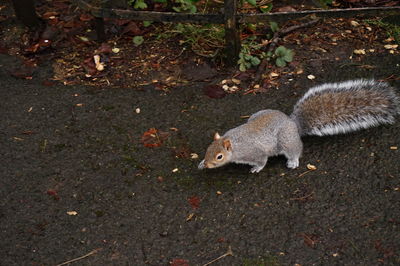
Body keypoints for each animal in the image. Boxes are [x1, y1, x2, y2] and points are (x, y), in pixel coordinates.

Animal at [199, 78, 400, 172]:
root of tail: (293, 123)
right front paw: (201, 163)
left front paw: (257, 168)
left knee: (295, 150)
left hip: (286, 141)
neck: (234, 142)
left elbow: (262, 160)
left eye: (219, 157)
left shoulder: (254, 152)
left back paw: (293, 161)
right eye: (207, 150)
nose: (208, 164)